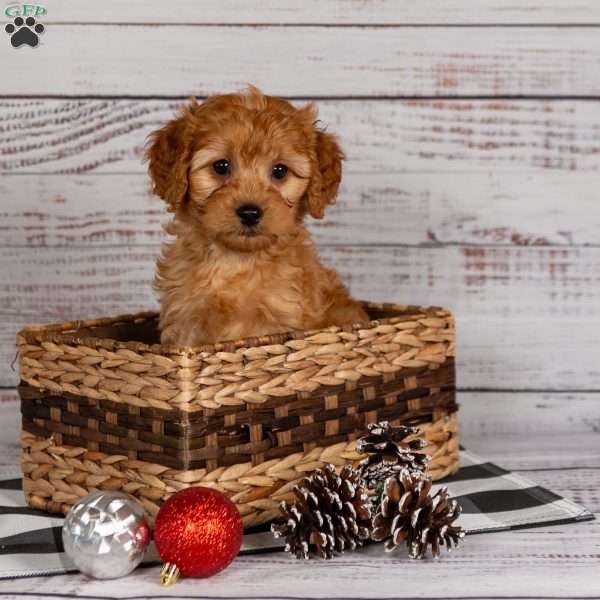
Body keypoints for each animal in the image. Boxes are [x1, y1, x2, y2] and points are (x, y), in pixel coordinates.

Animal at [148, 86, 368, 344]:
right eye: (221, 166)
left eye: (280, 170)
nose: (250, 212)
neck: (238, 262)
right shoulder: (185, 321)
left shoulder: (281, 316)